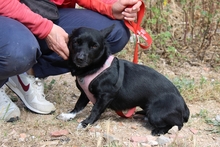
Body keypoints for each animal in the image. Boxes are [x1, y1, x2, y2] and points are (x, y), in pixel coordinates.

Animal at [56, 24, 189, 136]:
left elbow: (95, 111)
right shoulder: (85, 93)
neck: (97, 67)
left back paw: (159, 130)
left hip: (155, 114)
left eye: (94, 46)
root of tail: (183, 105)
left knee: (177, 124)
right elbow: (78, 105)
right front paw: (68, 115)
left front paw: (86, 123)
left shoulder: (105, 96)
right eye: (76, 42)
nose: (80, 58)